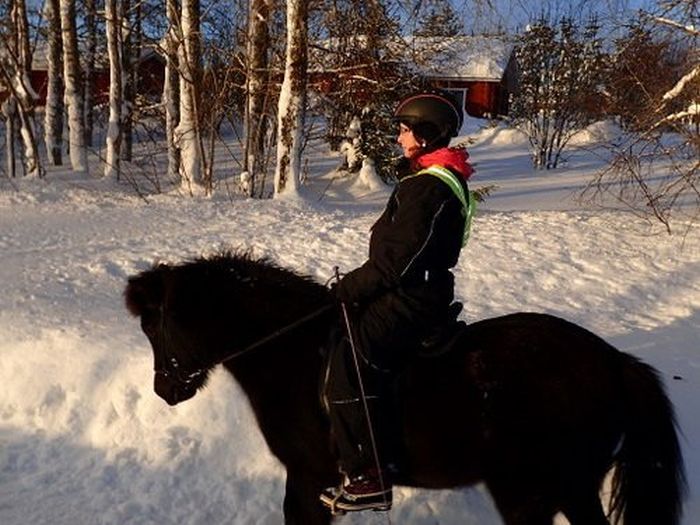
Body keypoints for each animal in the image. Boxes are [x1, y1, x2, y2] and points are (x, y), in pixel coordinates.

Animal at [123, 252, 688, 520]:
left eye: (154, 325)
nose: (164, 390)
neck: (295, 352)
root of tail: (613, 363)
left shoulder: (309, 480)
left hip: (534, 493)